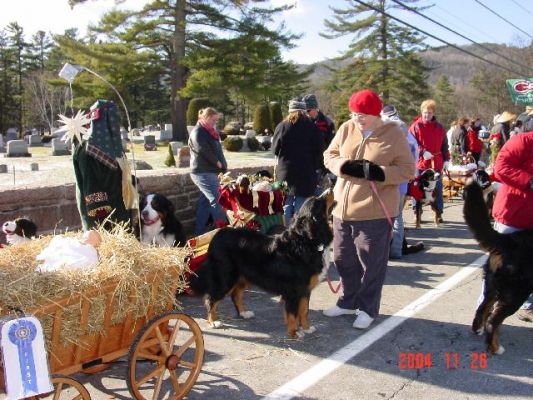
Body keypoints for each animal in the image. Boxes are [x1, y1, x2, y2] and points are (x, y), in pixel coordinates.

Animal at [189, 189, 334, 340]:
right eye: (320, 202)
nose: (330, 189)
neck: (306, 240)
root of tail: (218, 235)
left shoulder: (305, 290)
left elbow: (304, 310)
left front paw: (306, 328)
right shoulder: (294, 291)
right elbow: (293, 314)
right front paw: (294, 333)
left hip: (243, 277)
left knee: (236, 295)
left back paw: (244, 313)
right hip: (226, 278)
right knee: (211, 298)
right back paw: (213, 321)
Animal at [462, 180, 532, 354]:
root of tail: (509, 240)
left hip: (492, 283)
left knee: (483, 308)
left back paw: (478, 330)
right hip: (515, 292)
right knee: (493, 321)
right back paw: (495, 348)